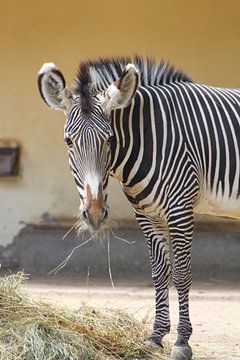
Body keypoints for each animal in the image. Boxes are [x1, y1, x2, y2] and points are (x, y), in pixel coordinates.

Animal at [37, 57, 240, 360]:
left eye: (109, 139)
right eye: (68, 142)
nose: (94, 214)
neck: (150, 139)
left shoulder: (180, 209)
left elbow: (181, 273)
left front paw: (182, 341)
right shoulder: (147, 214)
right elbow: (159, 272)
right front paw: (156, 337)